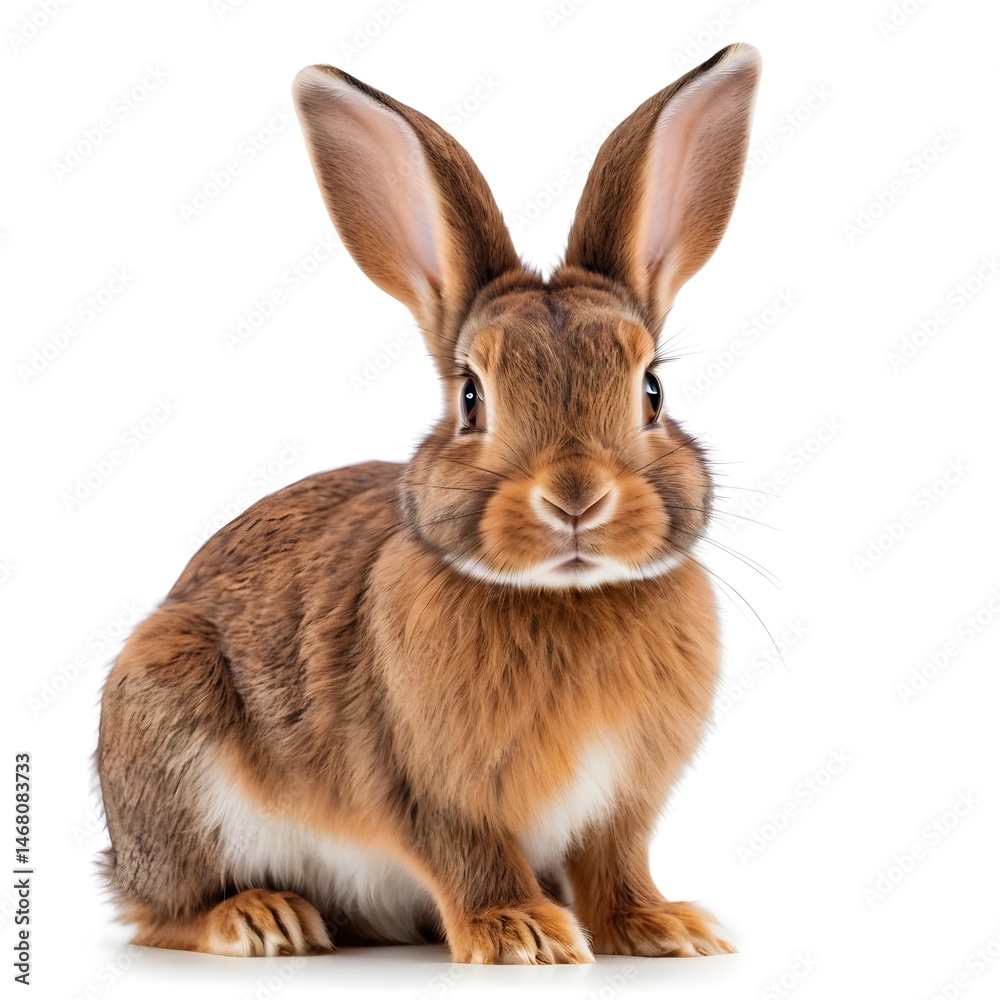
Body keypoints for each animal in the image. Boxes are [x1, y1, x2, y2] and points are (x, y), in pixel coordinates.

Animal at [95, 42, 761, 964]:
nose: (576, 498)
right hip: (168, 724)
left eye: (653, 390)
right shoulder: (427, 788)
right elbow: (467, 855)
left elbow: (616, 866)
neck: (565, 597)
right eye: (472, 398)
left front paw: (665, 928)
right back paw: (261, 920)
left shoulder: (622, 805)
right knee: (160, 909)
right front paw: (521, 935)